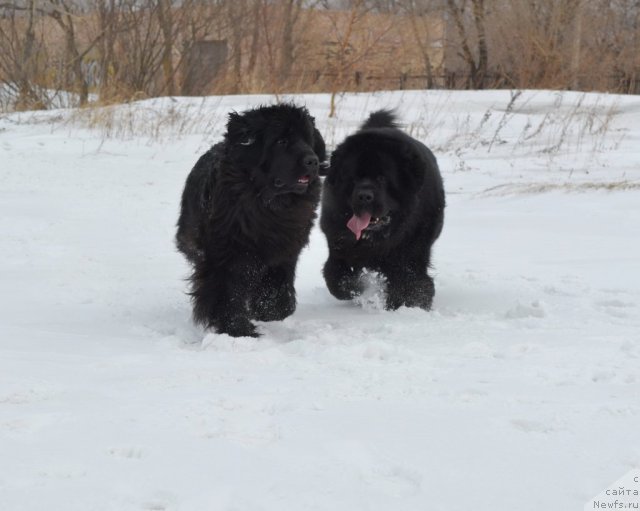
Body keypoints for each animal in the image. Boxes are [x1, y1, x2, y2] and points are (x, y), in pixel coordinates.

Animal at [175, 104, 324, 338]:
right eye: (281, 141)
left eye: (307, 139)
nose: (313, 161)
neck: (268, 205)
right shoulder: (227, 255)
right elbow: (227, 291)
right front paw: (238, 329)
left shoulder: (286, 249)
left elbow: (280, 291)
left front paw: (268, 310)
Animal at [320, 110, 444, 310]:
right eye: (353, 178)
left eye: (382, 178)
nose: (364, 196)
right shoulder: (338, 244)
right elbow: (336, 276)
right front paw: (358, 290)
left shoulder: (410, 256)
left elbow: (411, 285)